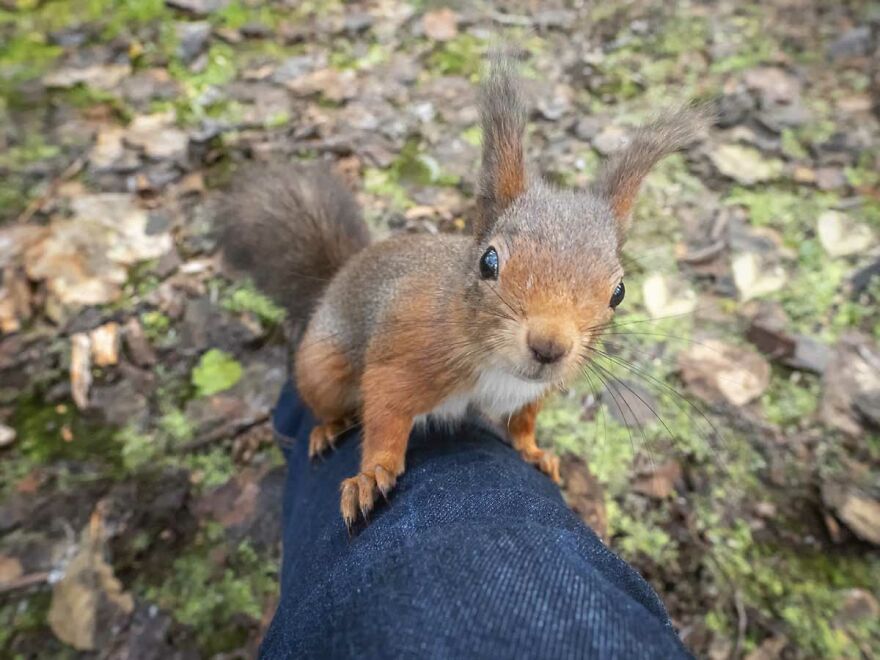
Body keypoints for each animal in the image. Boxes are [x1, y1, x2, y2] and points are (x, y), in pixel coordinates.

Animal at [220, 57, 710, 529]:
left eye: (619, 292)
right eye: (488, 262)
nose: (549, 347)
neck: (499, 370)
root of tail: (339, 276)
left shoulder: (529, 395)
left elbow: (523, 422)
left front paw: (534, 452)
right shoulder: (404, 355)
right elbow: (384, 415)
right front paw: (371, 475)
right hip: (325, 365)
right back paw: (327, 427)